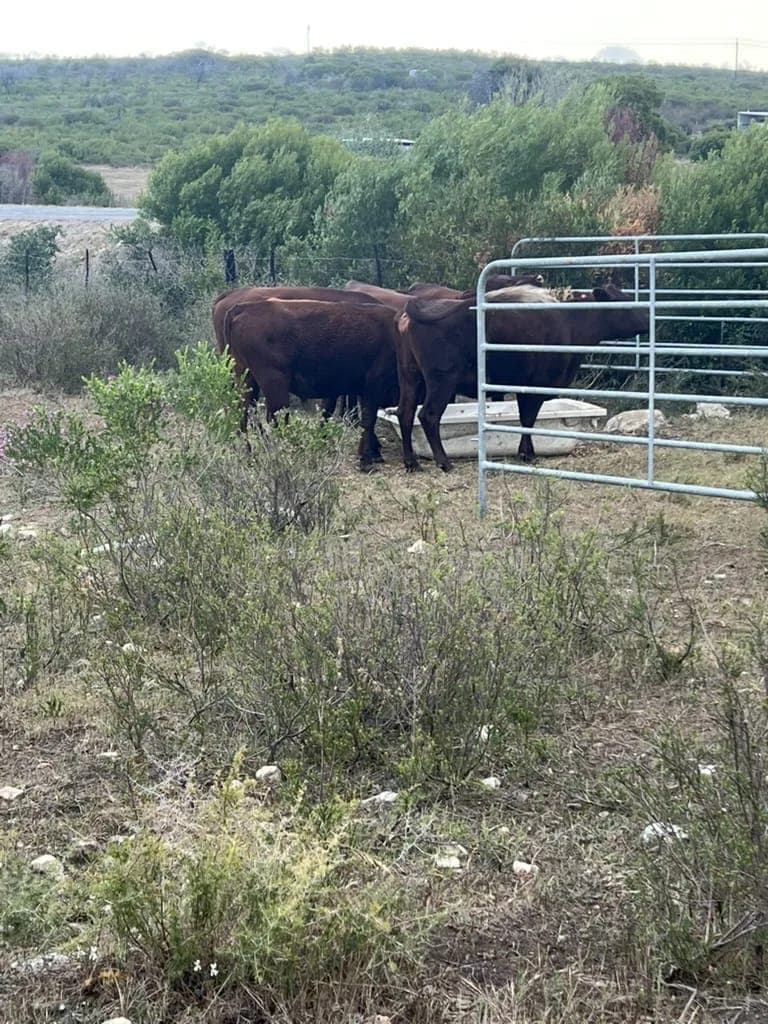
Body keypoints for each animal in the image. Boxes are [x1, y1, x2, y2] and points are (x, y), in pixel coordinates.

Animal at [221, 297, 400, 469]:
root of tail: (245, 307)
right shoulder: (374, 385)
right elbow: (368, 420)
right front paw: (367, 459)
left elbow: (332, 414)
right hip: (274, 383)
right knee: (274, 418)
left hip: (246, 380)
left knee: (244, 413)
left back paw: (249, 454)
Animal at [395, 282, 649, 473]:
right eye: (626, 303)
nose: (648, 316)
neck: (570, 323)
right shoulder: (537, 385)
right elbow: (528, 419)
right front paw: (528, 454)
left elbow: (524, 418)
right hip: (442, 381)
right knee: (428, 415)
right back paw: (444, 462)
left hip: (410, 377)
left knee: (405, 412)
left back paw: (411, 462)